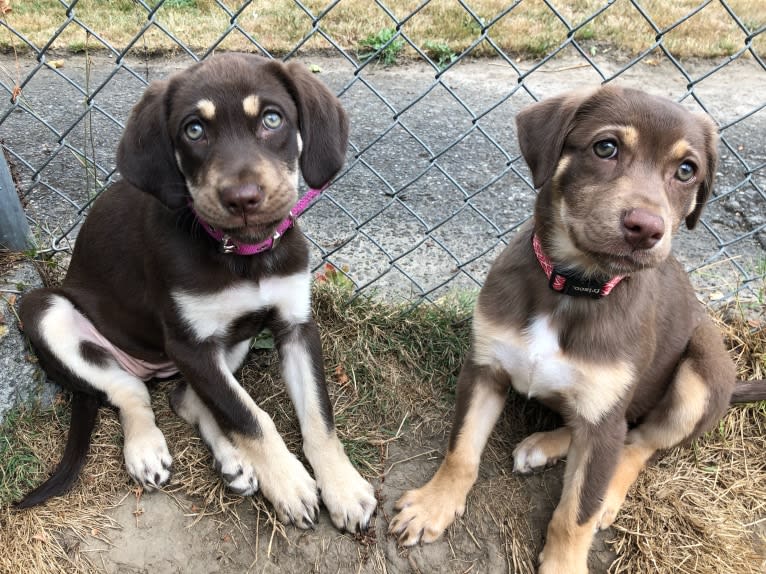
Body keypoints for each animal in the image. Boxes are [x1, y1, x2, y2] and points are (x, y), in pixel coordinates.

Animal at [392, 86, 764, 574]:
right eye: (605, 147)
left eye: (687, 170)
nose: (646, 229)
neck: (574, 287)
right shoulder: (484, 368)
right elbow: (461, 449)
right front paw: (433, 505)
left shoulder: (604, 412)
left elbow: (576, 513)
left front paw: (565, 560)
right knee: (610, 428)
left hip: (701, 371)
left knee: (638, 441)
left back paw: (608, 491)